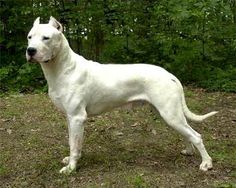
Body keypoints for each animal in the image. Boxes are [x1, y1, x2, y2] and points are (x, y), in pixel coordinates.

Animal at [25, 16, 218, 174]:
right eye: (29, 37)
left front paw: (71, 168)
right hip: (169, 114)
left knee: (196, 136)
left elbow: (74, 145)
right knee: (187, 133)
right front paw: (72, 160)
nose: (30, 50)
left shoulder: (77, 117)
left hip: (170, 114)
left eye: (46, 38)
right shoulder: (70, 117)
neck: (63, 68)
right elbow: (74, 142)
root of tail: (169, 75)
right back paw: (189, 152)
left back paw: (206, 164)